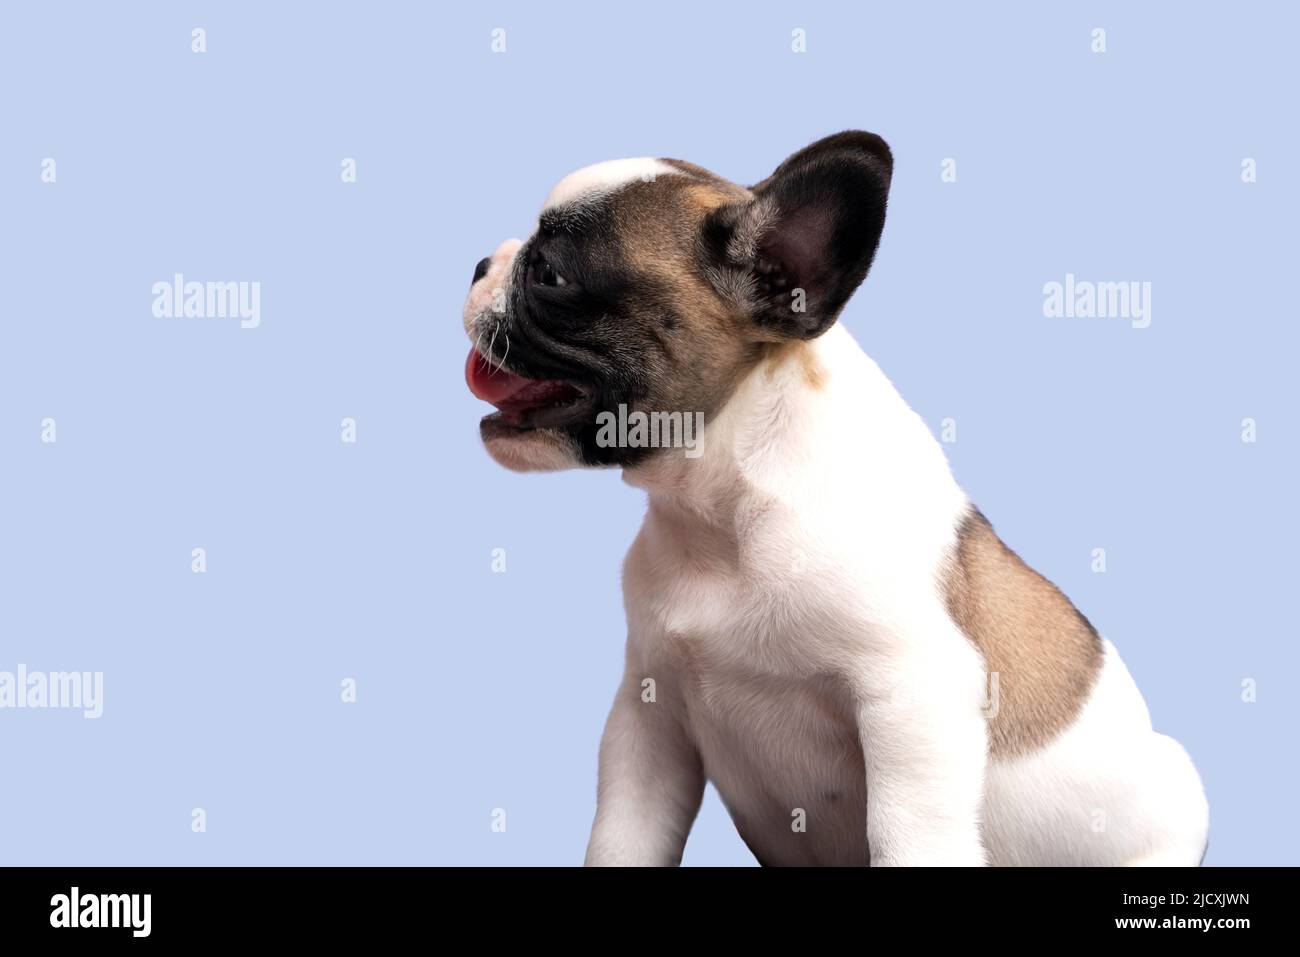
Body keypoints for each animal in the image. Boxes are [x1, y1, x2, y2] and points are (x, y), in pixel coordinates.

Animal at [460, 130, 1206, 863]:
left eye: (551, 274)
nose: (479, 264)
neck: (722, 511)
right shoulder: (649, 715)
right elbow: (625, 834)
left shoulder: (911, 699)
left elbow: (904, 836)